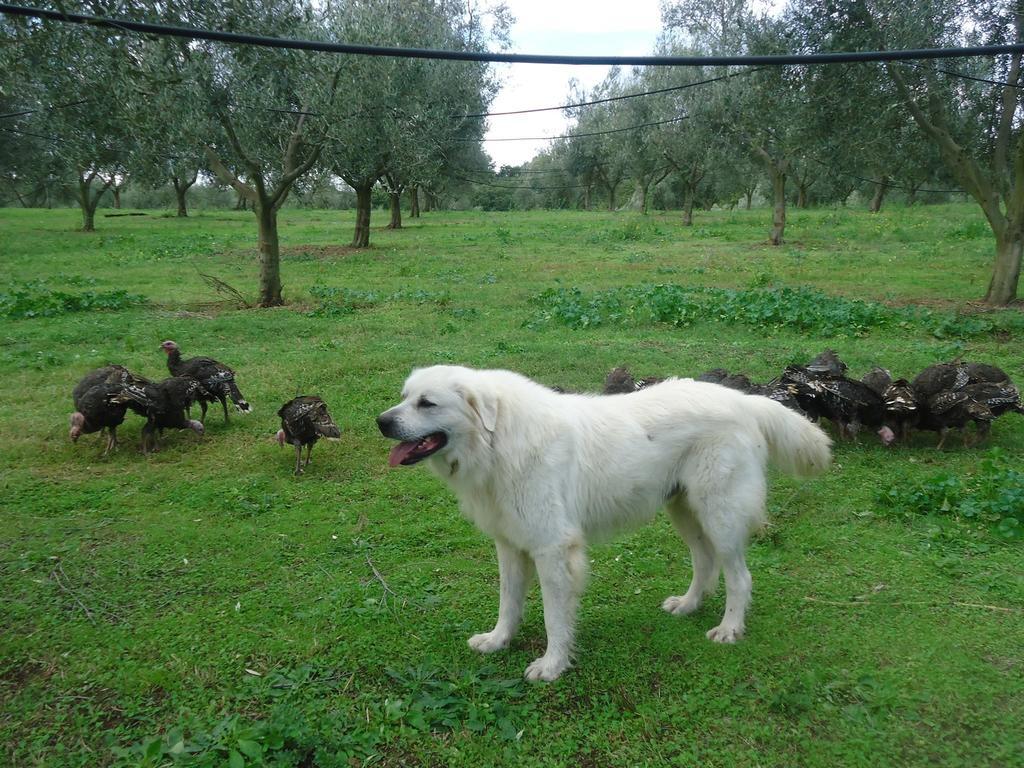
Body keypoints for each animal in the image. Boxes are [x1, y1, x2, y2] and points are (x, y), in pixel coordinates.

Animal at [378, 364, 831, 684]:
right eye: (403, 398)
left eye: (427, 403)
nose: (382, 421)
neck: (496, 440)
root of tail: (742, 400)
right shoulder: (510, 544)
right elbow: (508, 602)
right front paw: (498, 641)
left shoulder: (553, 548)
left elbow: (553, 616)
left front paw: (552, 665)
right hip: (684, 511)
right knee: (705, 563)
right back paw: (688, 605)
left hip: (719, 514)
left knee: (739, 577)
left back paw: (730, 628)